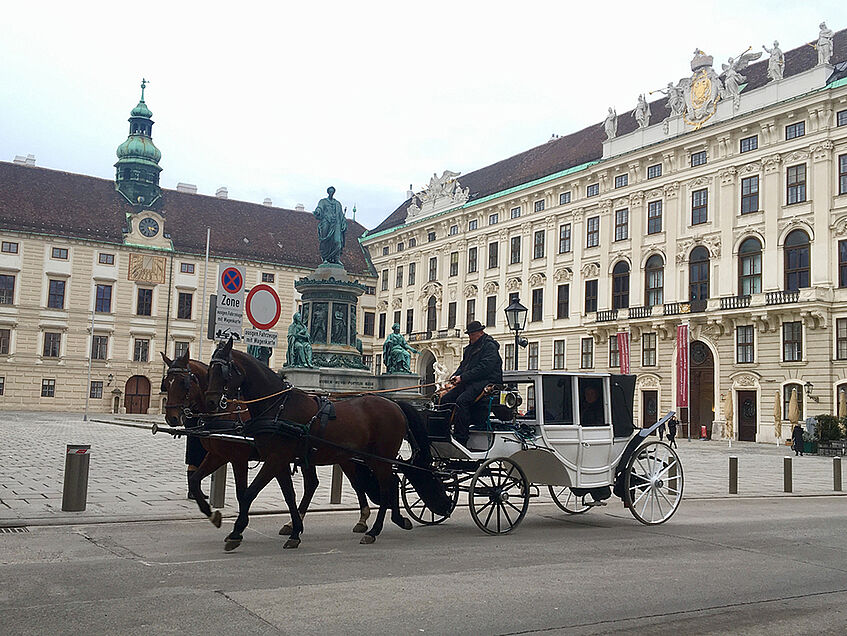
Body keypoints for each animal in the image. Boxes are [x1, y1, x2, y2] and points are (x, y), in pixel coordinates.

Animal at [161, 350, 372, 540]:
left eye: (183, 382)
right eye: (166, 383)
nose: (171, 418)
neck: (226, 412)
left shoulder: (239, 458)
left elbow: (242, 493)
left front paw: (239, 527)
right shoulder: (218, 455)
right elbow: (195, 480)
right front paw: (211, 513)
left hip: (343, 457)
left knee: (355, 482)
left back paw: (363, 518)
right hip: (309, 457)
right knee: (313, 483)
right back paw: (294, 523)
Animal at [205, 338, 444, 552]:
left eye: (222, 371)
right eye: (209, 370)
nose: (211, 402)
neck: (279, 407)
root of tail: (394, 404)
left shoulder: (275, 459)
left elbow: (249, 493)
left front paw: (236, 533)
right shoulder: (279, 460)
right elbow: (289, 496)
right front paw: (295, 531)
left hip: (380, 457)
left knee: (386, 486)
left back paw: (374, 531)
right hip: (371, 457)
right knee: (391, 483)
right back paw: (396, 520)